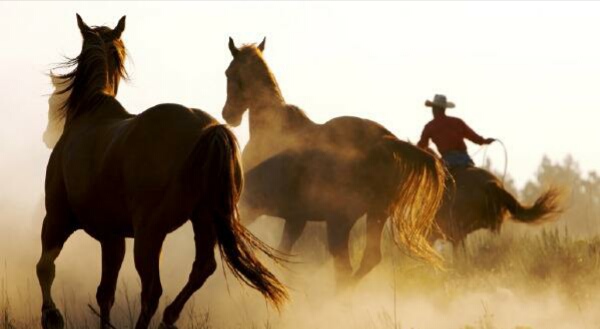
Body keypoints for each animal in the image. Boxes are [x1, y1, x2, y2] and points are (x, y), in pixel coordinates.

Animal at [38, 16, 288, 329]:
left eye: (53, 102)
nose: (47, 135)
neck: (90, 112)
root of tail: (209, 130)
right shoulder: (112, 237)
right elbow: (105, 293)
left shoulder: (57, 219)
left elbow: (45, 268)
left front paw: (52, 316)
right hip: (202, 220)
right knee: (200, 269)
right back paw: (169, 318)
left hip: (149, 234)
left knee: (152, 291)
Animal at [220, 37, 446, 284]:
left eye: (229, 72)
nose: (228, 114)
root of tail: (386, 141)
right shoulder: (295, 218)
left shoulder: (254, 206)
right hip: (375, 214)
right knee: (367, 260)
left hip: (340, 221)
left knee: (346, 267)